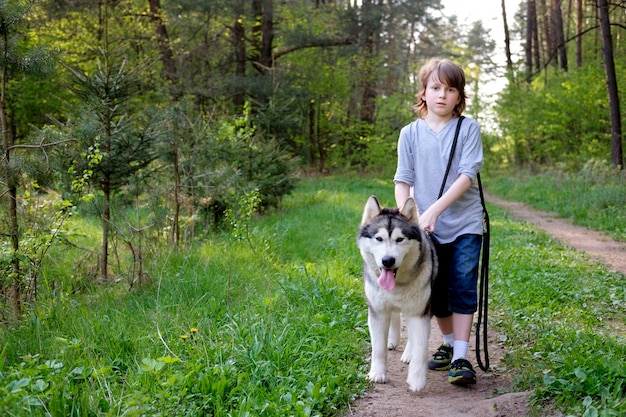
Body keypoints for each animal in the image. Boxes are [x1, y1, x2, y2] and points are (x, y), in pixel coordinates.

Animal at [354, 195, 436, 390]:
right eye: (379, 238)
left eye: (400, 239)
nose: (388, 260)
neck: (396, 285)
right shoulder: (378, 311)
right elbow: (378, 348)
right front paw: (377, 373)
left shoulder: (419, 312)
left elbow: (421, 348)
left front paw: (417, 380)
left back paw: (408, 354)